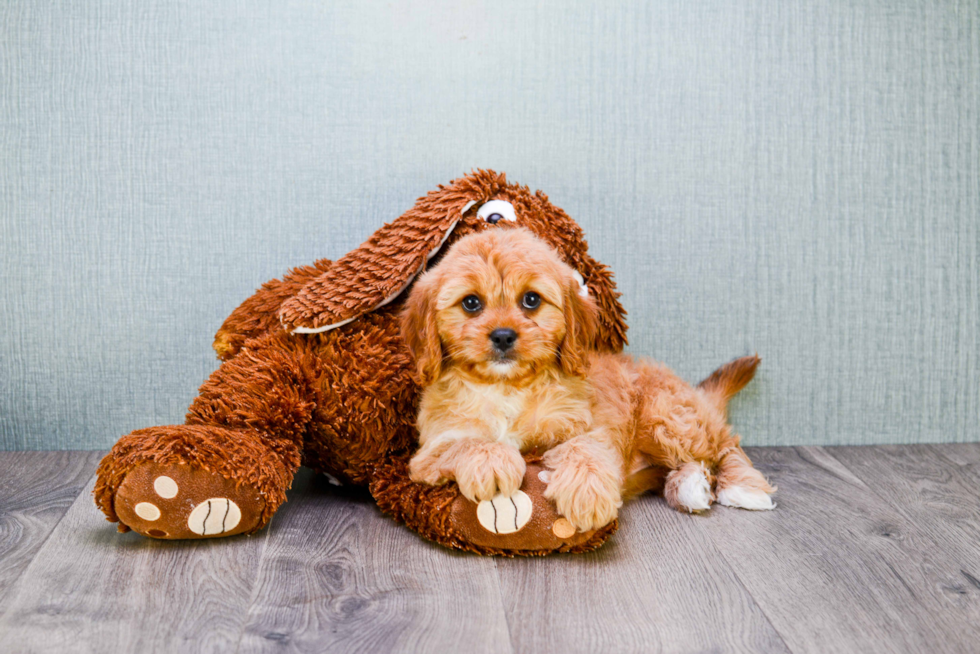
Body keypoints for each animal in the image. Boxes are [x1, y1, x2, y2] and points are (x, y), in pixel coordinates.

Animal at [398, 228, 772, 536]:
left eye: (531, 299)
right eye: (471, 303)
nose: (503, 336)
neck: (507, 387)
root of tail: (696, 395)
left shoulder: (586, 424)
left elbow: (584, 449)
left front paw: (587, 492)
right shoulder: (429, 450)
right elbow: (468, 443)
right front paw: (492, 459)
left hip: (668, 418)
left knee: (725, 445)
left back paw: (744, 487)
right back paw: (688, 486)